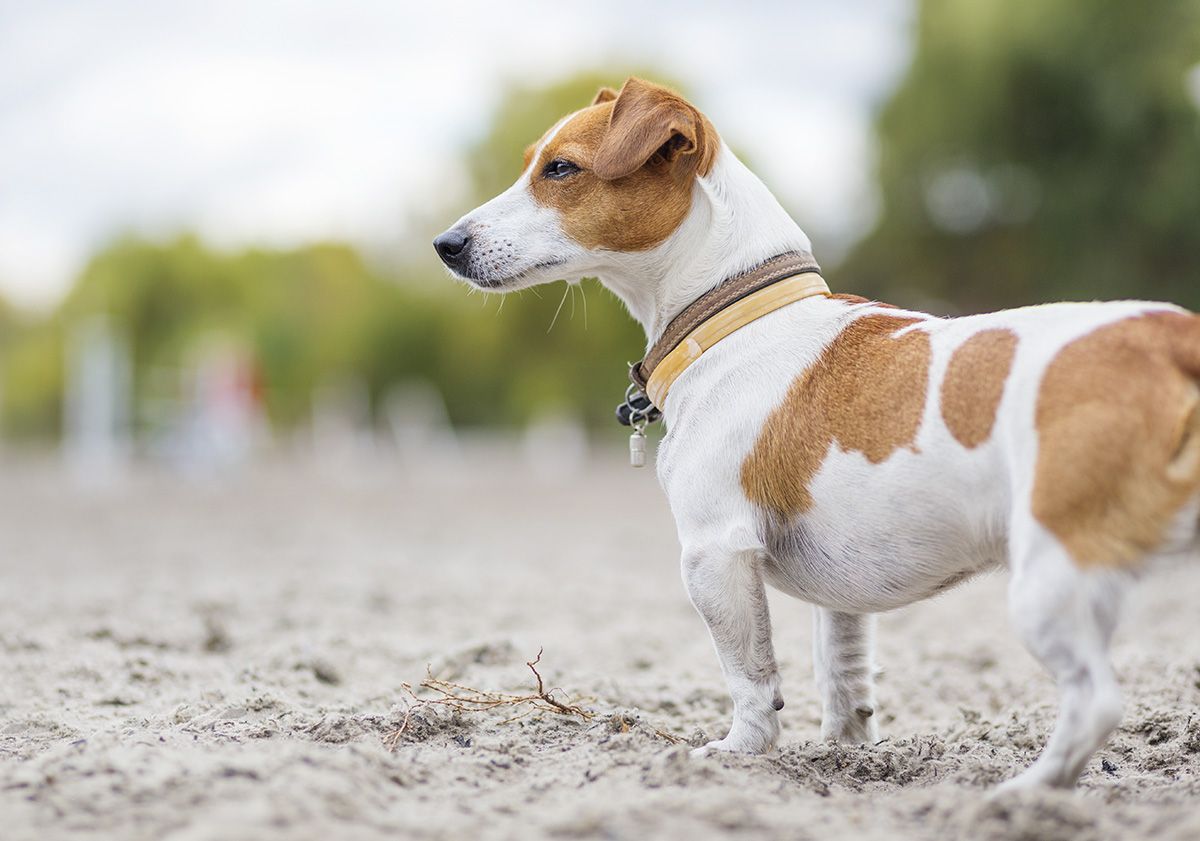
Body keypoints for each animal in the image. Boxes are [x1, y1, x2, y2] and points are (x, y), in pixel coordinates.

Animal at [436, 77, 1200, 787]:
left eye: (560, 169)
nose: (446, 244)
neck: (735, 312)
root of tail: (1173, 337)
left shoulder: (713, 554)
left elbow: (750, 676)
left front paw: (740, 752)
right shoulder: (843, 599)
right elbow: (843, 674)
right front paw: (845, 751)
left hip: (1052, 575)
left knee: (1095, 702)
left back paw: (1024, 792)